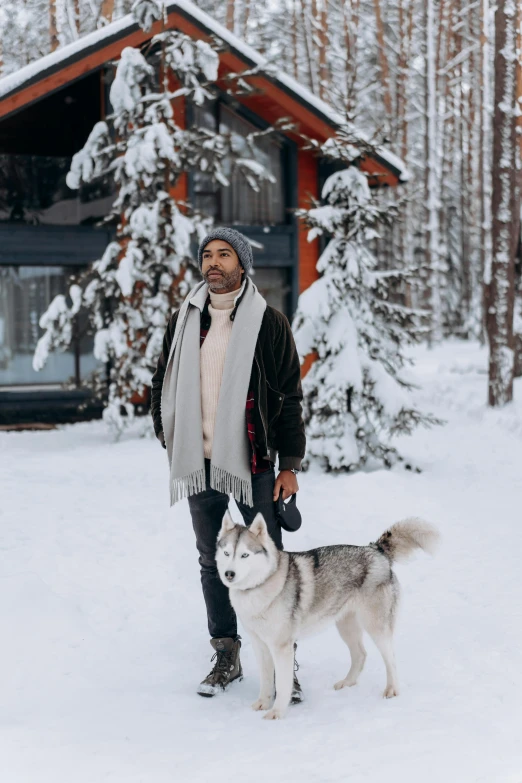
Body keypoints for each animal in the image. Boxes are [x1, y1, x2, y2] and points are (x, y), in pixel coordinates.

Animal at [213, 516, 436, 724]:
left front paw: (277, 712)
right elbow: (267, 681)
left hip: (376, 627)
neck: (259, 587)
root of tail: (376, 550)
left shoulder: (282, 647)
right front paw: (262, 703)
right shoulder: (261, 645)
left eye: (244, 555)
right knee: (361, 654)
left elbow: (283, 685)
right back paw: (347, 682)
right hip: (346, 626)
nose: (229, 574)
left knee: (391, 659)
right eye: (227, 553)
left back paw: (392, 690)